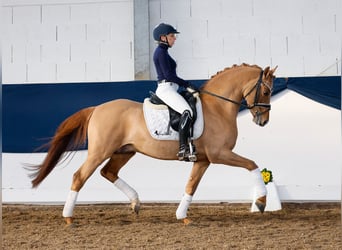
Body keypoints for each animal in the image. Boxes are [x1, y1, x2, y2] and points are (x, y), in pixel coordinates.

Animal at [28, 63, 276, 227]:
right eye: (265, 91)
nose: (263, 121)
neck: (217, 107)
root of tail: (97, 108)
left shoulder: (203, 160)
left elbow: (191, 186)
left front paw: (182, 216)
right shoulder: (219, 154)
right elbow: (252, 164)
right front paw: (261, 201)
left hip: (124, 151)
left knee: (108, 172)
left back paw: (136, 203)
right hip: (100, 151)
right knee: (80, 176)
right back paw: (69, 217)